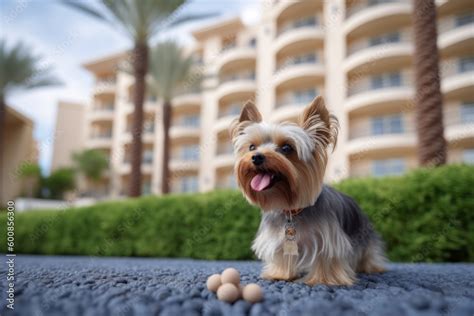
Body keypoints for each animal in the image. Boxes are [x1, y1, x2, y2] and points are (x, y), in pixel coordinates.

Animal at [230, 95, 386, 286]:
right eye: (252, 147)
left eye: (287, 148)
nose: (256, 157)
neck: (293, 210)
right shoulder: (280, 239)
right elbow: (283, 255)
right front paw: (281, 274)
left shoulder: (329, 238)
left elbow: (327, 256)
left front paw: (324, 279)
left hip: (363, 233)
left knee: (368, 251)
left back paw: (371, 267)